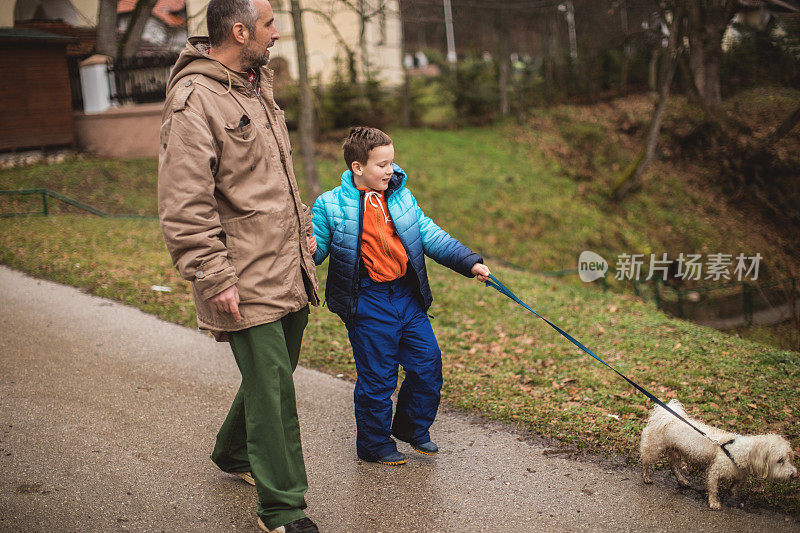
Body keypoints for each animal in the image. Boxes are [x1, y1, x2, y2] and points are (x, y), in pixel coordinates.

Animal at [640, 400, 796, 508]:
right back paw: (646, 477)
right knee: (646, 462)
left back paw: (682, 481)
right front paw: (714, 503)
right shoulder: (714, 472)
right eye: (780, 460)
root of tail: (667, 417)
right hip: (654, 447)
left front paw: (731, 494)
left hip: (676, 451)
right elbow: (713, 489)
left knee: (674, 467)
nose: (794, 474)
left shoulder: (739, 474)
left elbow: (735, 485)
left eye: (789, 458)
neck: (739, 451)